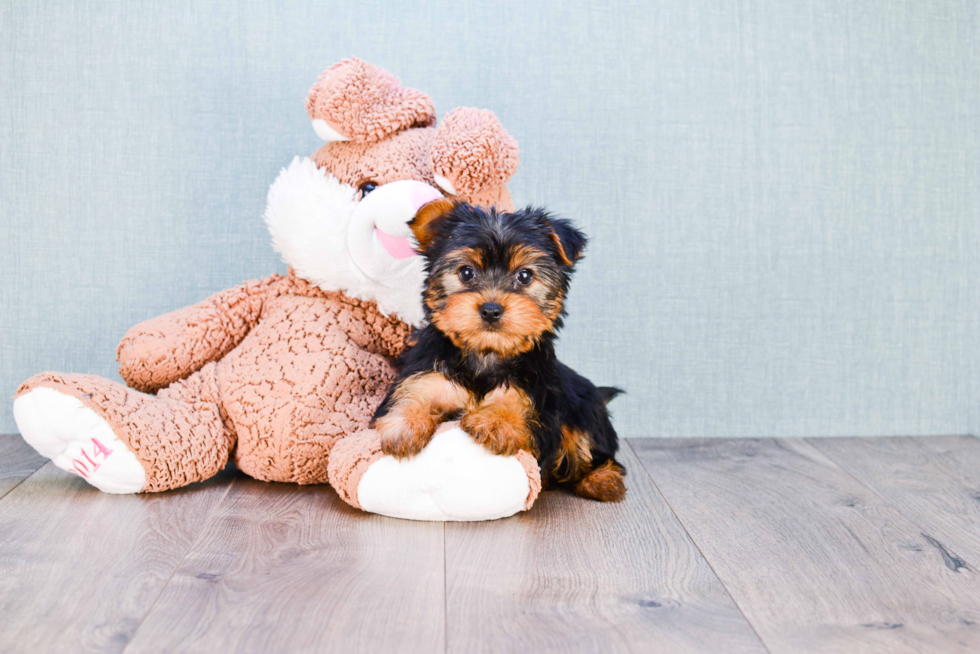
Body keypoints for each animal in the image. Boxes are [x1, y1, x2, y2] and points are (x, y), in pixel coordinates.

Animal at [372, 200, 624, 502]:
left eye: (524, 276)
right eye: (466, 272)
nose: (491, 309)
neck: (486, 354)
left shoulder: (533, 394)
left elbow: (517, 409)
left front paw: (494, 422)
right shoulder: (427, 376)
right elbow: (412, 397)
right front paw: (405, 427)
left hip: (586, 412)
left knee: (593, 448)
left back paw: (603, 480)